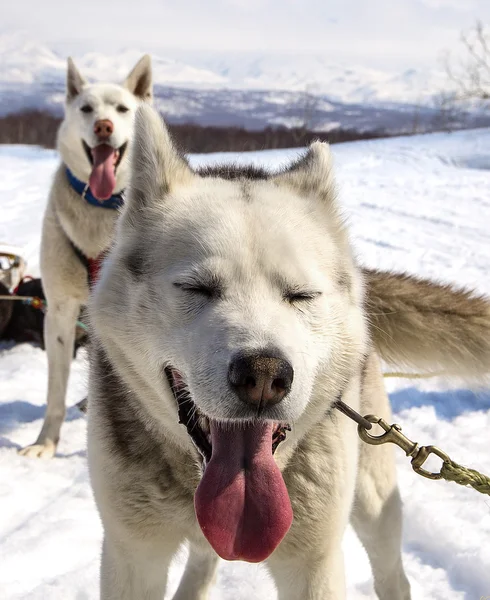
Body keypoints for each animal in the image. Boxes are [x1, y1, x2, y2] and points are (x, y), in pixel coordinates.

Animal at [20, 56, 152, 460]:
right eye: (86, 109)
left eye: (122, 109)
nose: (103, 126)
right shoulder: (60, 312)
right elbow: (55, 392)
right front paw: (45, 443)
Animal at [86, 108, 488, 600]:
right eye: (197, 288)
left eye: (301, 295)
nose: (263, 375)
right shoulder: (132, 555)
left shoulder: (312, 564)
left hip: (374, 501)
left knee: (392, 572)